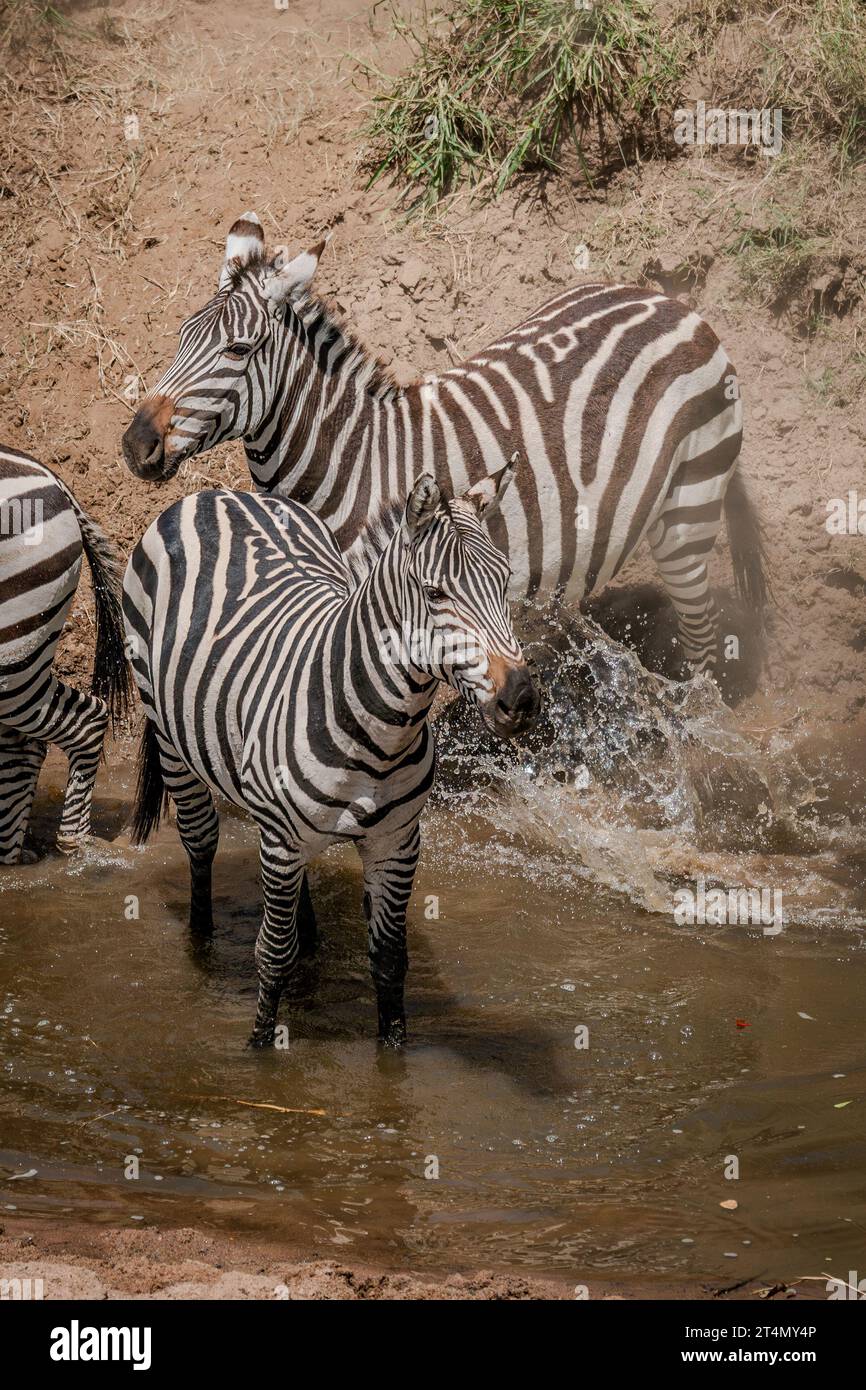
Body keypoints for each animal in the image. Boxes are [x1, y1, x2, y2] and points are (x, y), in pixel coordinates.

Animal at [121, 211, 768, 677]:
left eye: (237, 349)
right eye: (181, 336)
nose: (134, 444)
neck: (356, 461)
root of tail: (676, 305)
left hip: (687, 515)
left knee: (703, 647)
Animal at [123, 460, 539, 1046]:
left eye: (504, 582)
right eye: (435, 593)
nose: (520, 699)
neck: (379, 738)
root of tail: (218, 492)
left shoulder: (396, 843)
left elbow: (389, 961)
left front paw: (394, 1052)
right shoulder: (281, 839)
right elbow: (272, 955)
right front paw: (258, 1047)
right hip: (169, 737)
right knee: (200, 841)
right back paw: (201, 947)